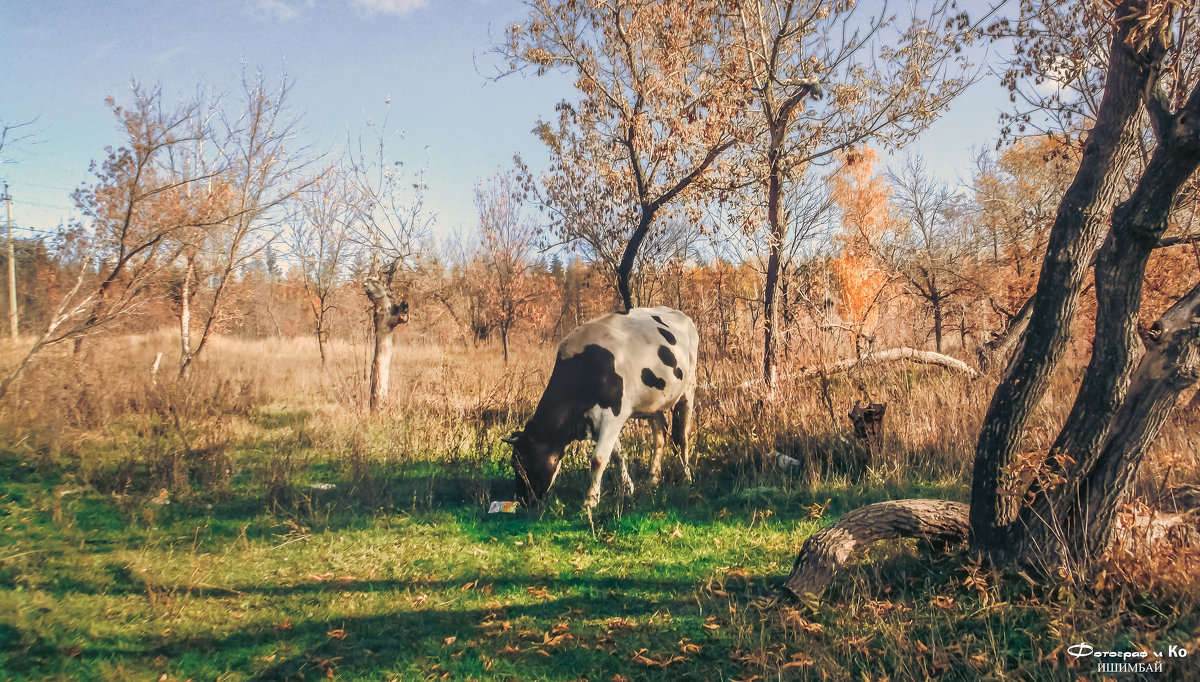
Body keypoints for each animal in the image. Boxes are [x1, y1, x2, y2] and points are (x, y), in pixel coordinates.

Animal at [501, 306, 700, 509]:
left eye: (523, 464)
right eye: (514, 463)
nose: (523, 501)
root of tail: (679, 314)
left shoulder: (613, 415)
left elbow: (598, 459)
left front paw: (591, 500)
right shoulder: (597, 420)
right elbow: (617, 455)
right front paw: (627, 488)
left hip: (688, 389)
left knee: (682, 436)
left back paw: (687, 476)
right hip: (654, 404)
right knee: (659, 436)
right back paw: (653, 478)